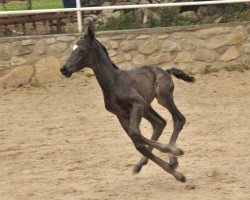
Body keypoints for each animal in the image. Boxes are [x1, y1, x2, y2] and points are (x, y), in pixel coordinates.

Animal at [60, 22, 195, 182]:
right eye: (72, 49)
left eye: (82, 50)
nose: (64, 69)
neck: (114, 82)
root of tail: (166, 71)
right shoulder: (121, 114)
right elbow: (138, 143)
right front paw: (176, 173)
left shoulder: (137, 104)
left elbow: (135, 134)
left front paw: (176, 153)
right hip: (147, 106)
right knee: (159, 123)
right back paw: (145, 163)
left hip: (162, 98)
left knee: (179, 119)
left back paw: (173, 157)